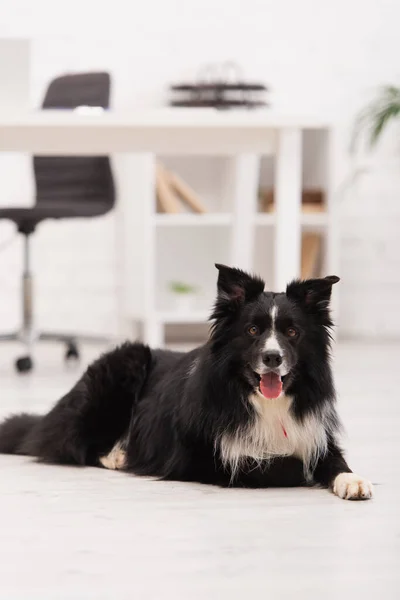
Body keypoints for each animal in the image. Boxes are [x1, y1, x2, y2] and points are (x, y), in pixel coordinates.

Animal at [0, 264, 374, 500]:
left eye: (292, 332)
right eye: (253, 330)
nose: (272, 358)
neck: (261, 401)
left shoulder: (314, 433)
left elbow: (331, 459)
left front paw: (353, 480)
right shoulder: (205, 458)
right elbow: (282, 466)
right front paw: (302, 470)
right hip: (121, 368)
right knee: (76, 444)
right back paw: (118, 455)